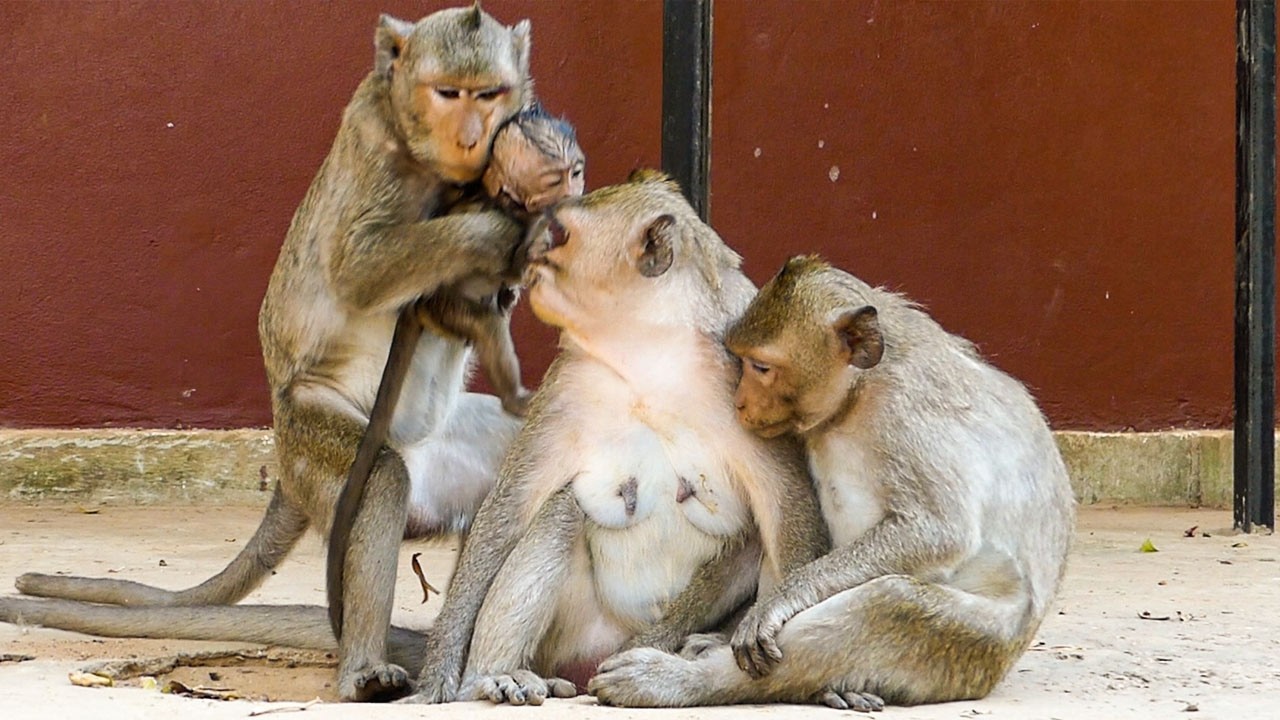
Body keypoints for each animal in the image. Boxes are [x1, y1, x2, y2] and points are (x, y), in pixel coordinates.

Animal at [10, 6, 535, 702]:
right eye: (448, 93)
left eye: (490, 93)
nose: (475, 136)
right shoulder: (375, 153)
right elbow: (360, 270)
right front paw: (501, 225)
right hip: (315, 440)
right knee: (380, 480)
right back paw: (363, 666)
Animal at [327, 105, 584, 651]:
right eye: (552, 180)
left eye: (575, 171)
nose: (573, 191)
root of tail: (420, 304)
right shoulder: (510, 221)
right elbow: (514, 255)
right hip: (448, 307)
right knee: (484, 320)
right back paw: (515, 396)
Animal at [402, 170, 829, 706]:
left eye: (560, 235)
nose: (529, 259)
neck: (649, 349)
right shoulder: (568, 384)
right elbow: (510, 510)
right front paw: (440, 672)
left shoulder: (752, 379)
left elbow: (783, 511)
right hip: (571, 638)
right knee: (561, 512)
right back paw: (496, 674)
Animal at [587, 255, 1077, 710]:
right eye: (740, 360)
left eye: (760, 367)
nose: (739, 402)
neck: (858, 394)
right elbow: (771, 527)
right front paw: (659, 633)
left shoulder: (907, 411)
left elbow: (939, 530)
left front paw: (777, 602)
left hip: (973, 650)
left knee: (891, 603)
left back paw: (677, 681)